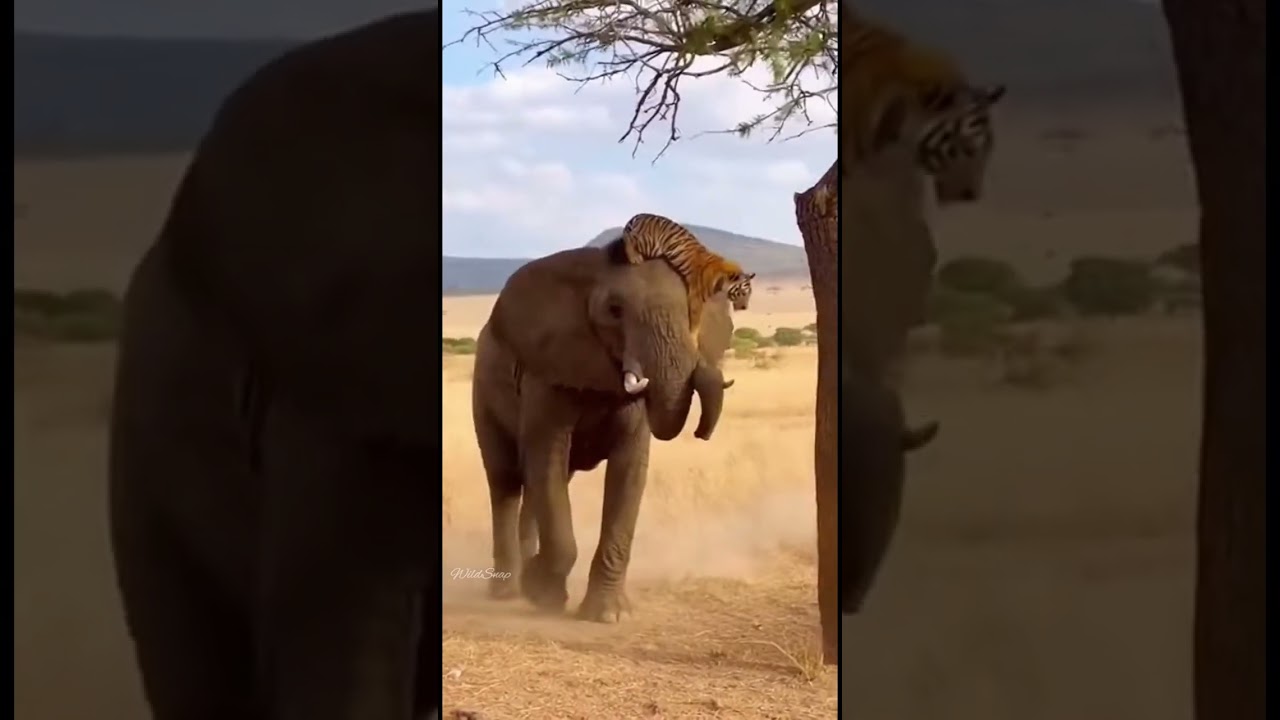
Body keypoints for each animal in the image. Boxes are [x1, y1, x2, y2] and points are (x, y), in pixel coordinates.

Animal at [619, 212, 755, 334]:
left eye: (749, 294)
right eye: (743, 293)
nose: (745, 307)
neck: (722, 281)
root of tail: (641, 215)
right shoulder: (696, 298)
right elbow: (695, 323)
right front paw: (693, 338)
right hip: (651, 245)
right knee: (628, 237)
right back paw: (634, 257)